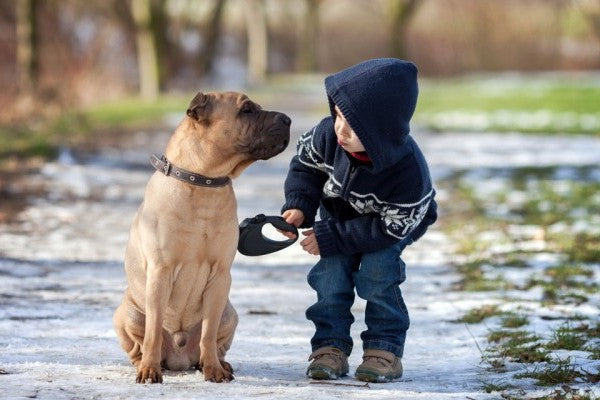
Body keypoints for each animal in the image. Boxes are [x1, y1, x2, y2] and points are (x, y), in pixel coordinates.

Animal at [113, 90, 292, 382]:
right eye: (247, 110)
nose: (287, 119)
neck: (203, 181)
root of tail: (179, 357)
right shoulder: (161, 270)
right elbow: (153, 331)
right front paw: (149, 370)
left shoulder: (220, 275)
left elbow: (208, 333)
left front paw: (214, 370)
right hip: (128, 314)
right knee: (139, 342)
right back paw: (147, 363)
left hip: (229, 314)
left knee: (214, 341)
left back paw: (219, 364)